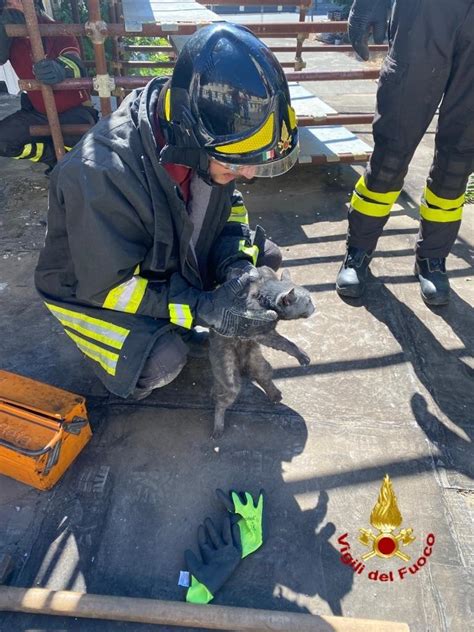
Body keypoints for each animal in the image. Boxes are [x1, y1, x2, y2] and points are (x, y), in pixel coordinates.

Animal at [208, 264, 314, 436]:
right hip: (228, 372)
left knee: (263, 376)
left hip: (258, 361)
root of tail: (242, 363)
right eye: (308, 301)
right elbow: (286, 343)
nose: (315, 306)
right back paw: (218, 427)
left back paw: (274, 395)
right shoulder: (262, 333)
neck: (264, 295)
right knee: (222, 400)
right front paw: (301, 355)